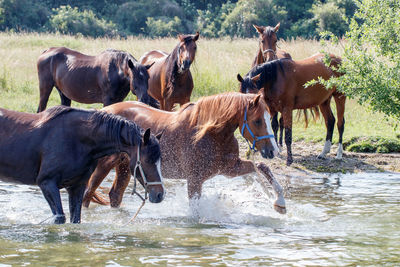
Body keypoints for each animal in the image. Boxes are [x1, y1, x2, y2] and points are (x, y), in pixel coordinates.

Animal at [0, 105, 164, 225]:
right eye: (147, 160)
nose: (160, 194)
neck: (77, 140)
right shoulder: (47, 183)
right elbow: (60, 218)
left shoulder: (77, 186)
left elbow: (75, 219)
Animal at [83, 93, 286, 215]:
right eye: (257, 120)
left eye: (268, 118)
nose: (273, 150)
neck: (211, 132)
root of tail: (102, 111)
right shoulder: (195, 179)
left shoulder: (229, 168)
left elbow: (258, 167)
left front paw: (278, 202)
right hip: (104, 166)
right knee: (87, 193)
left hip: (126, 168)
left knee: (115, 195)